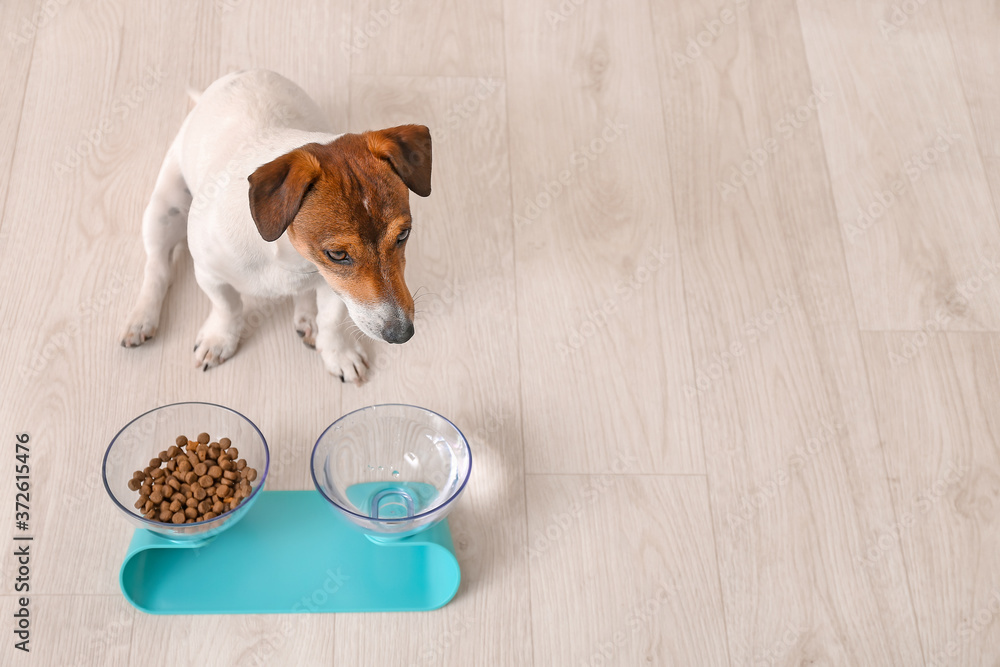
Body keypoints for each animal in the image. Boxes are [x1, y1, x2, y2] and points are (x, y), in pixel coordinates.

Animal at [118, 68, 430, 384]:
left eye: (403, 235)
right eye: (338, 254)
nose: (402, 334)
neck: (287, 253)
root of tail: (240, 73)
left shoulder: (335, 286)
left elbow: (330, 321)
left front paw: (338, 353)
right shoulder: (209, 274)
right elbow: (227, 307)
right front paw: (220, 338)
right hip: (163, 209)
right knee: (157, 267)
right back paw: (142, 317)